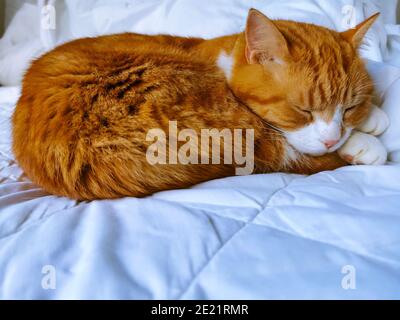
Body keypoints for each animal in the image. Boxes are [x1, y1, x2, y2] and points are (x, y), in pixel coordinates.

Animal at [11, 8, 388, 199]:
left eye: (349, 107)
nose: (332, 138)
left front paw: (370, 118)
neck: (223, 57)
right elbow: (291, 144)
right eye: (302, 111)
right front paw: (362, 141)